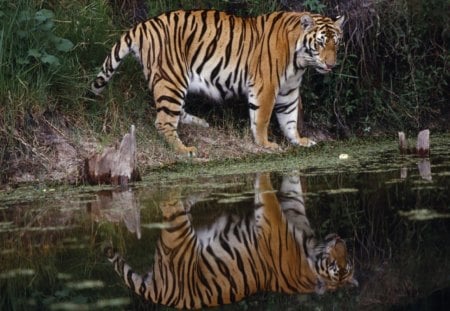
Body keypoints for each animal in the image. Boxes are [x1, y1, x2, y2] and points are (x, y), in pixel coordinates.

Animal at [91, 9, 344, 157]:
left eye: (337, 43)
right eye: (321, 43)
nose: (331, 65)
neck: (300, 61)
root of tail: (142, 26)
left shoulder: (289, 89)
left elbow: (290, 117)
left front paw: (299, 140)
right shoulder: (266, 85)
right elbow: (262, 118)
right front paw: (266, 144)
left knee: (175, 113)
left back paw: (201, 123)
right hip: (171, 79)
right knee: (163, 121)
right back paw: (185, 149)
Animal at [103, 173, 356, 310]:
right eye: (339, 262)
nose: (339, 239)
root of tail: (163, 294)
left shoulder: (273, 222)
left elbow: (267, 195)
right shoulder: (290, 214)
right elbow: (289, 192)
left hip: (177, 232)